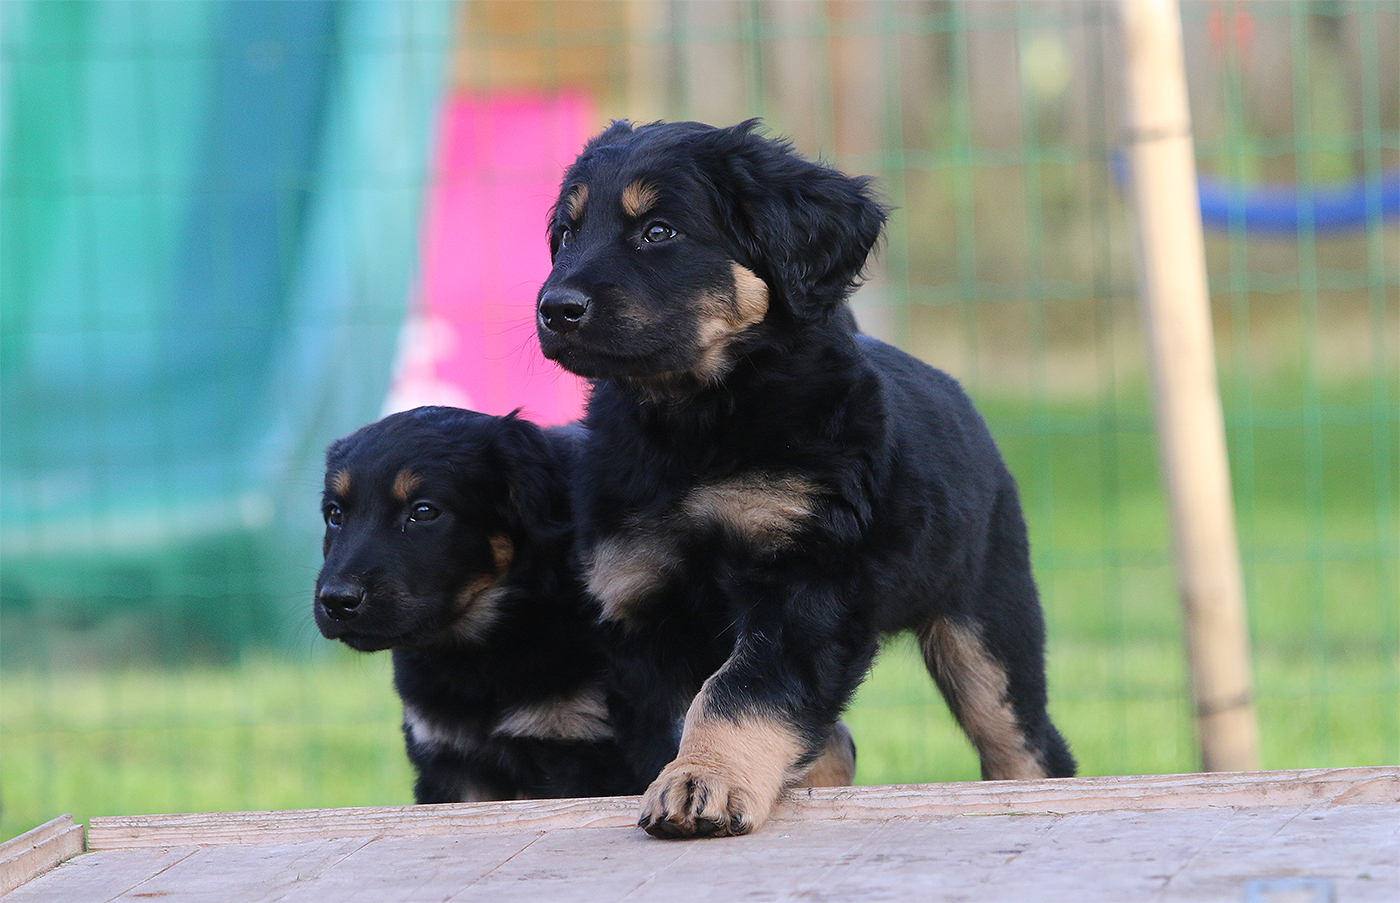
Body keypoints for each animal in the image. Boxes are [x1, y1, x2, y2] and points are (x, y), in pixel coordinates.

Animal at [536, 120, 1075, 838]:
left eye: (658, 231)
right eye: (567, 234)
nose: (554, 309)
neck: (695, 425)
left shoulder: (807, 580)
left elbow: (740, 691)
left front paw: (704, 779)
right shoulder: (642, 603)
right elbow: (691, 712)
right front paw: (692, 775)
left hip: (987, 619)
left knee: (1021, 737)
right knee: (832, 738)